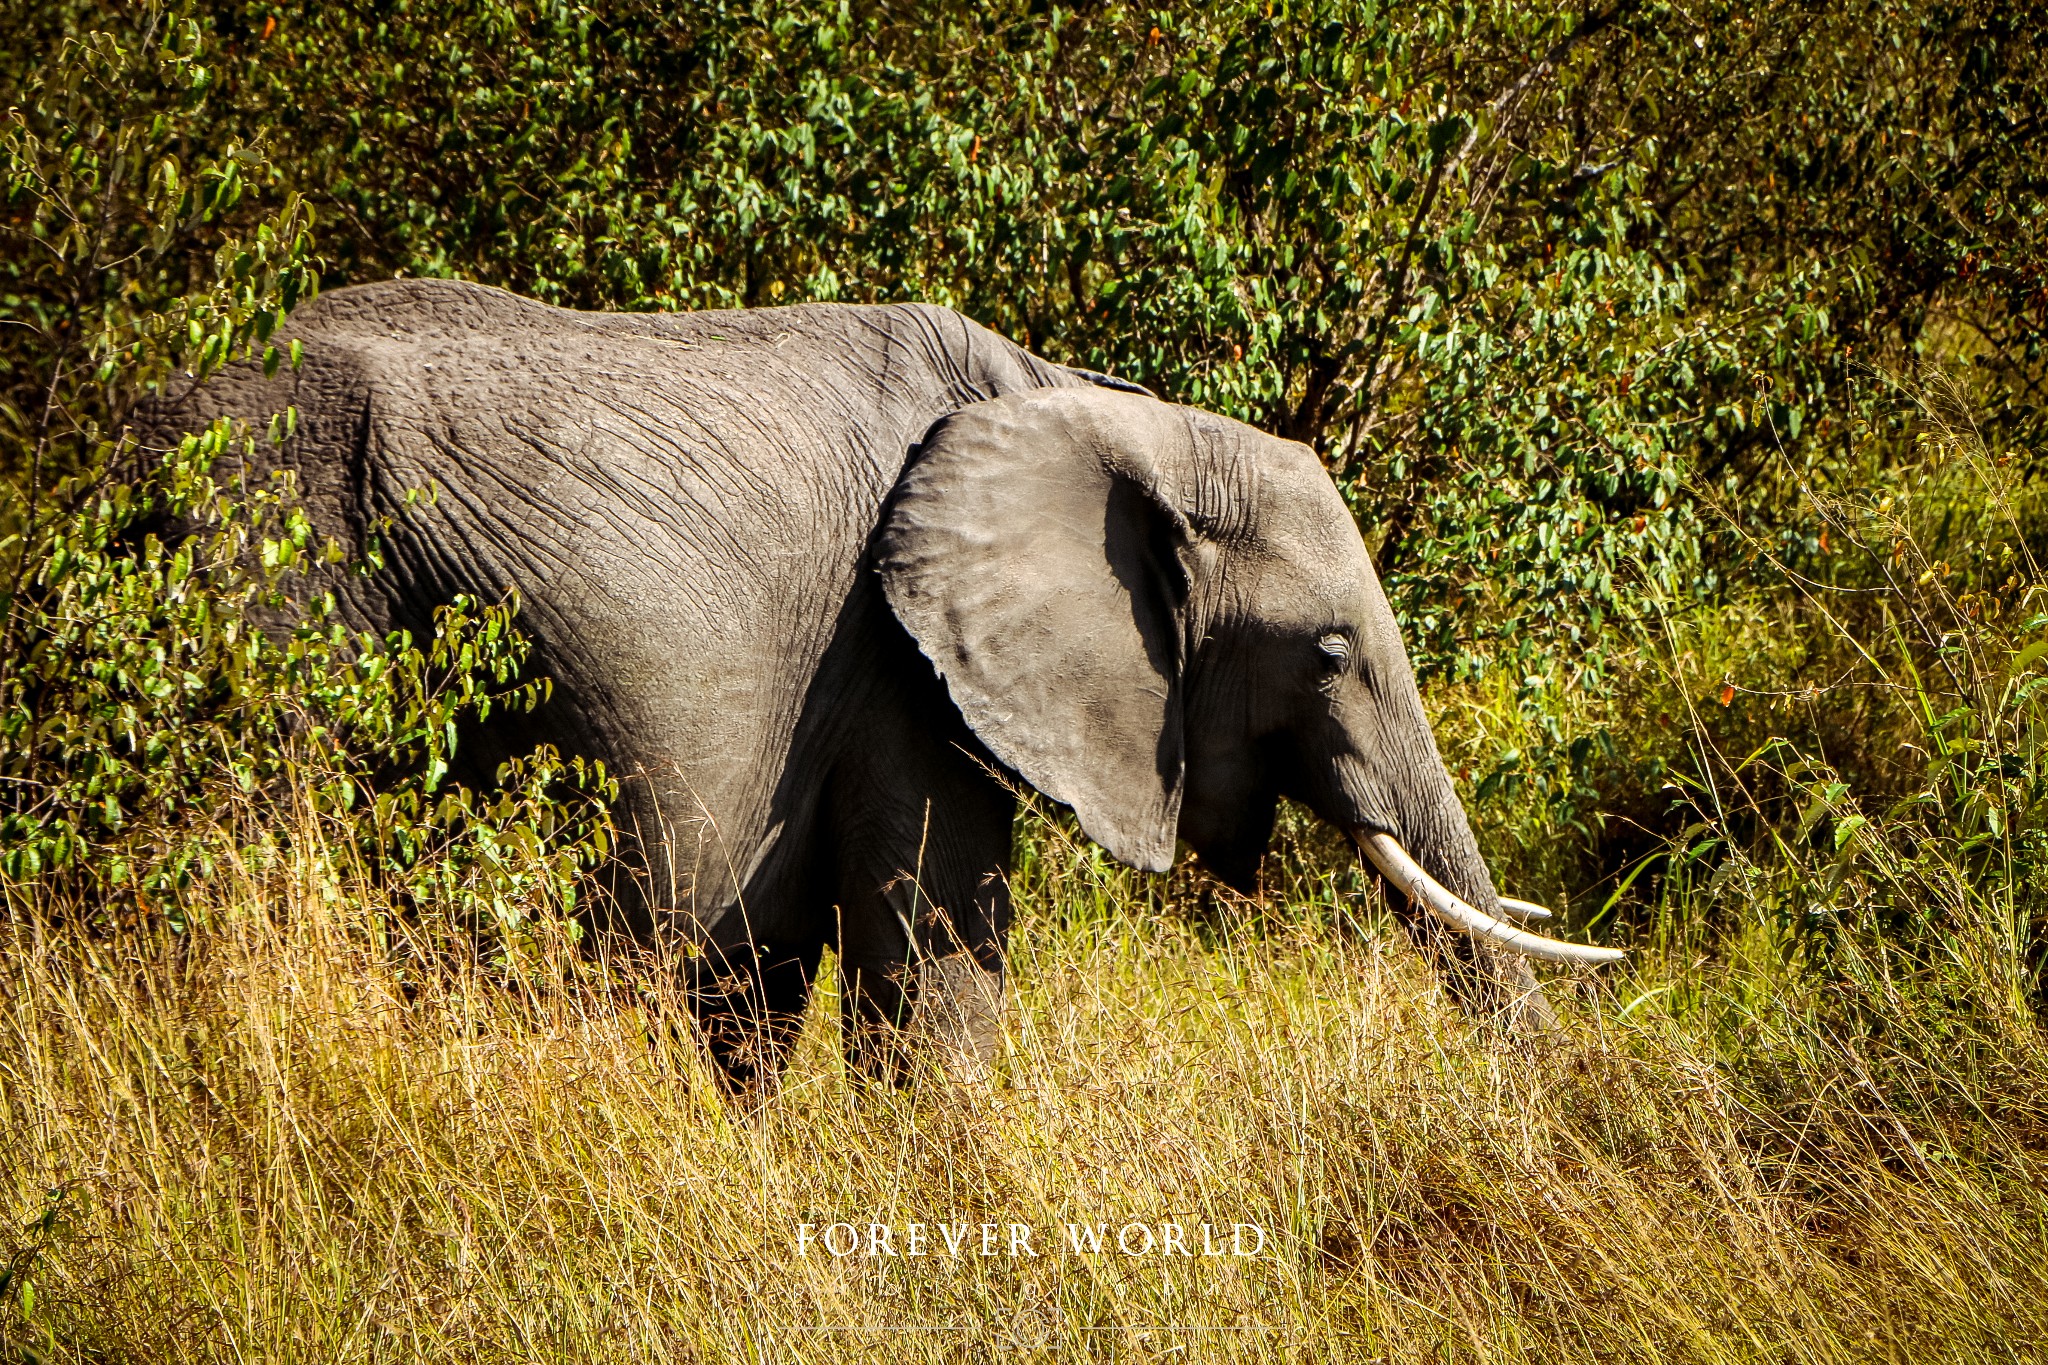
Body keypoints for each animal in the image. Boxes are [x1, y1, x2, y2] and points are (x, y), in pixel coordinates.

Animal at [140, 278, 1613, 1088]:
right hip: (277, 575)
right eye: (1328, 653)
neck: (1085, 402)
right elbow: (933, 987)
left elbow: (762, 1001)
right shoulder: (901, 663)